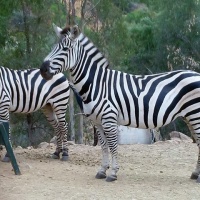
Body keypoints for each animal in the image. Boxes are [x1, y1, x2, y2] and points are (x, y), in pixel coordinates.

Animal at [39, 24, 200, 182]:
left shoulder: (109, 119)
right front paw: (102, 171)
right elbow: (104, 147)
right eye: (53, 47)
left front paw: (113, 173)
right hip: (189, 116)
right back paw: (195, 174)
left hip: (195, 114)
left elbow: (113, 146)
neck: (97, 84)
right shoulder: (97, 121)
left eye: (65, 49)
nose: (42, 69)